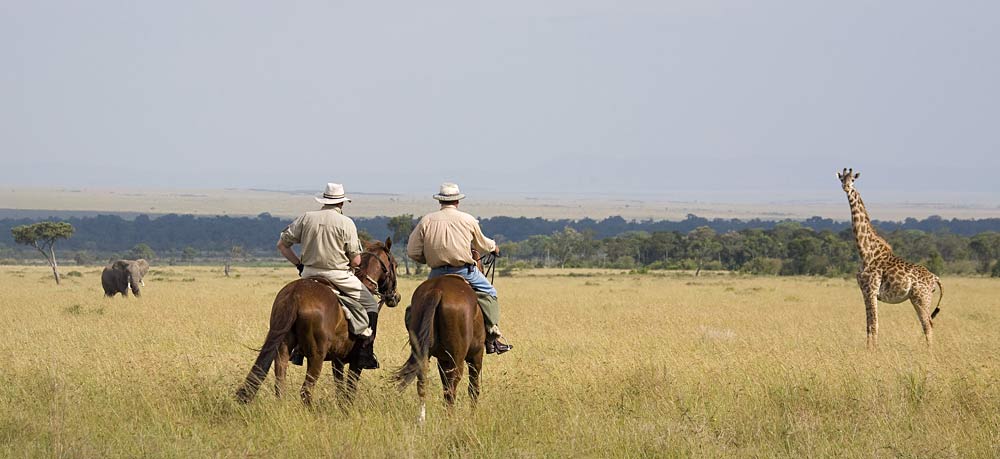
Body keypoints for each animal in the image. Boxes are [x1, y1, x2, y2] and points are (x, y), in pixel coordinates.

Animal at [237, 239, 398, 404]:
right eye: (395, 265)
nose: (395, 297)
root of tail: (295, 294)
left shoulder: (337, 360)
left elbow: (340, 390)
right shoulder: (354, 363)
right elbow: (349, 391)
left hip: (283, 348)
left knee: (280, 385)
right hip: (316, 356)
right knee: (306, 391)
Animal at [392, 274, 486, 422]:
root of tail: (437, 290)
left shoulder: (443, 360)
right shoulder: (476, 355)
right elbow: (473, 388)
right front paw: (472, 415)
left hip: (424, 352)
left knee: (423, 380)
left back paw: (422, 419)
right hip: (457, 358)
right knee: (453, 386)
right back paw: (450, 418)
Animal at [840, 169, 940, 348]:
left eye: (853, 180)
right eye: (841, 179)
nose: (846, 187)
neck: (866, 252)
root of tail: (935, 277)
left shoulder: (872, 290)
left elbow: (874, 324)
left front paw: (873, 350)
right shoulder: (864, 292)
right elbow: (868, 325)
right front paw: (869, 349)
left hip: (922, 298)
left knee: (927, 324)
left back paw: (929, 352)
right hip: (916, 298)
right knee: (927, 323)